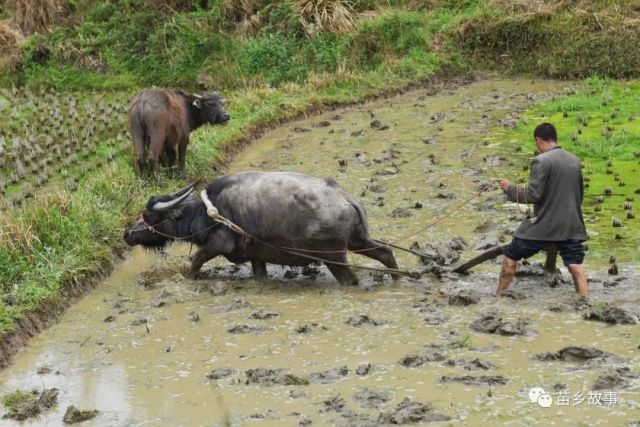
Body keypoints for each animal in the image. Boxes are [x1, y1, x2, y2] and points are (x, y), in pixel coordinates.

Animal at [122, 172, 398, 286]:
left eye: (149, 215)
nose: (127, 233)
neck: (209, 211)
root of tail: (346, 198)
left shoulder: (218, 244)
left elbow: (196, 260)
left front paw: (189, 277)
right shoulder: (257, 256)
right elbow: (259, 274)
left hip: (334, 256)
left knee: (351, 278)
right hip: (358, 240)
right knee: (385, 252)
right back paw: (397, 277)